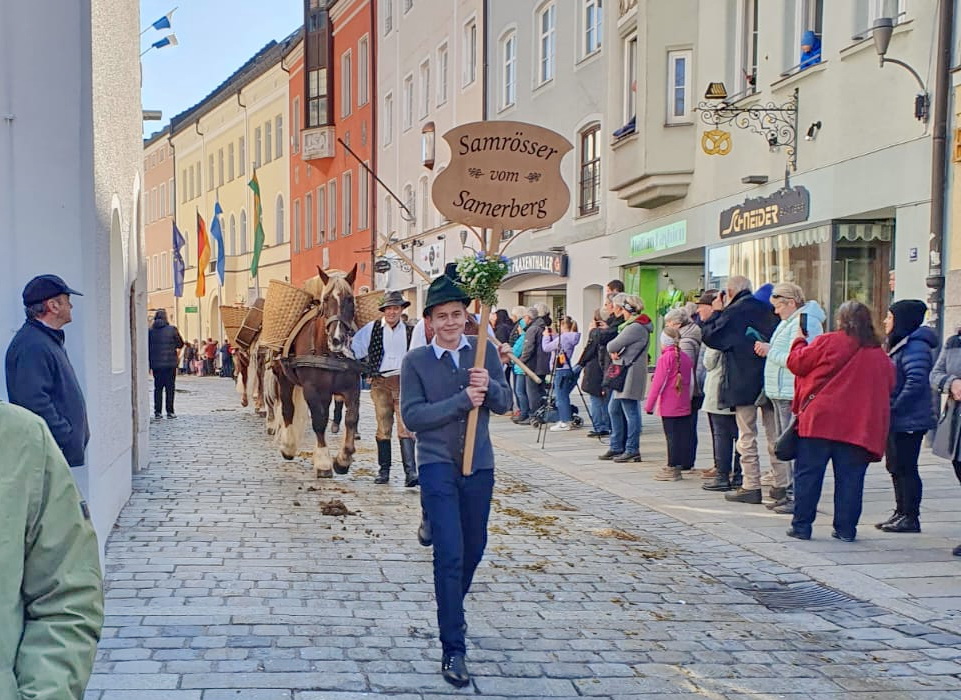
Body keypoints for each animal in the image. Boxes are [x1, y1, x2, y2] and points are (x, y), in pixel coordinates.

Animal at [275, 264, 362, 478]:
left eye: (350, 299)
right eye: (326, 299)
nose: (337, 339)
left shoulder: (352, 387)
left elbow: (351, 419)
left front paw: (343, 459)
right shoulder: (311, 388)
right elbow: (319, 420)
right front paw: (323, 462)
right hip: (283, 378)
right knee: (288, 408)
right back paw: (288, 447)